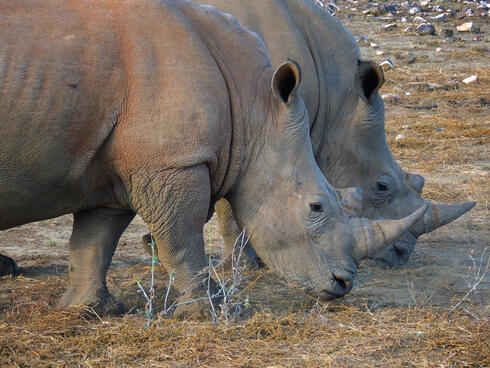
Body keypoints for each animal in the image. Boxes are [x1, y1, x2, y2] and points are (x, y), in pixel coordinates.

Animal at [0, 0, 424, 316]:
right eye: (316, 207)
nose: (344, 283)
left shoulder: (118, 163)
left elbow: (94, 239)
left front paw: (91, 310)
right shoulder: (177, 160)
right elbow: (187, 235)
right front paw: (213, 306)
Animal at [184, 0, 474, 268]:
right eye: (381, 186)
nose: (401, 256)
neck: (337, 98)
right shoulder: (240, 134)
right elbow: (230, 203)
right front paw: (245, 264)